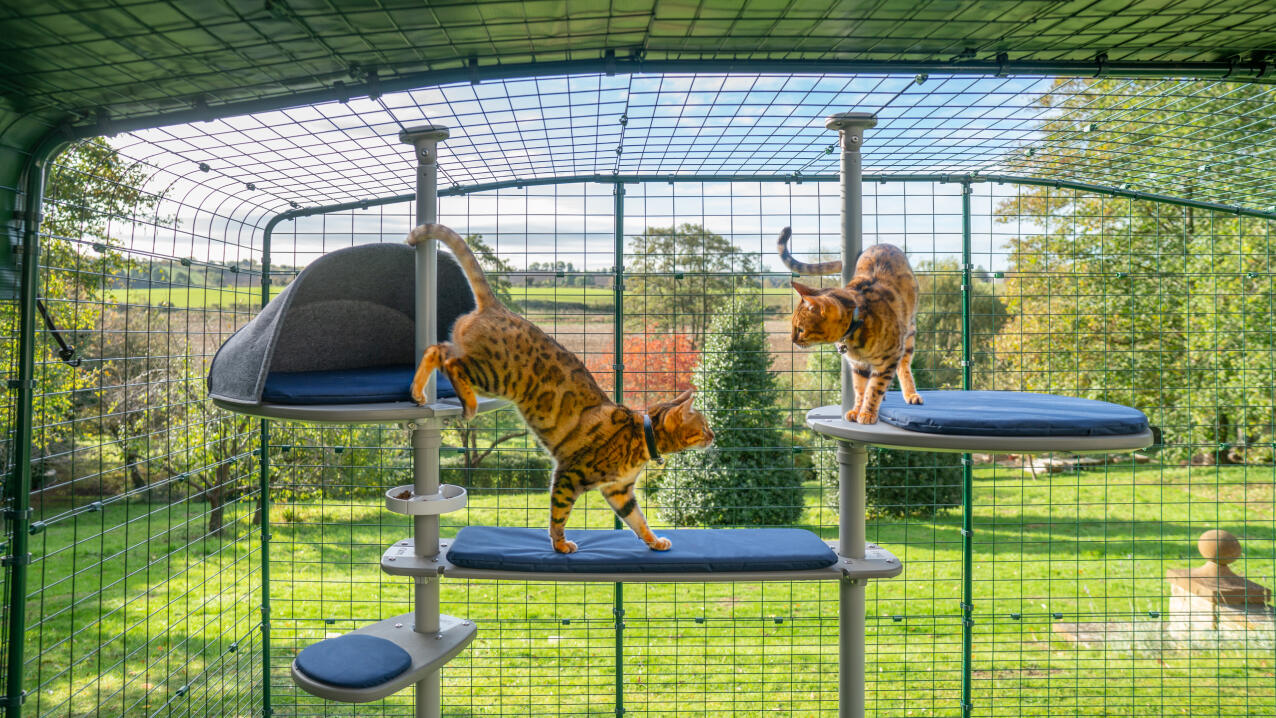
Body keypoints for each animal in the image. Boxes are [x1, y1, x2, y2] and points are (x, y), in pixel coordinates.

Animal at [405, 224, 714, 556]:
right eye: (704, 426)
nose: (714, 435)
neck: (641, 436)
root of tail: (498, 307)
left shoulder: (619, 491)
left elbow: (637, 520)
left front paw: (655, 541)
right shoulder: (569, 474)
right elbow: (559, 513)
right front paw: (560, 543)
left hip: (477, 358)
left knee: (436, 349)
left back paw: (418, 392)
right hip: (495, 375)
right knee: (451, 363)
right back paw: (469, 403)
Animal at [770, 227, 923, 423]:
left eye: (801, 329)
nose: (791, 340)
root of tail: (878, 244)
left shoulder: (889, 357)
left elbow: (875, 388)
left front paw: (867, 413)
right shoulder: (858, 366)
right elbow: (860, 389)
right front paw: (856, 410)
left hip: (908, 333)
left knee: (903, 365)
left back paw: (910, 394)